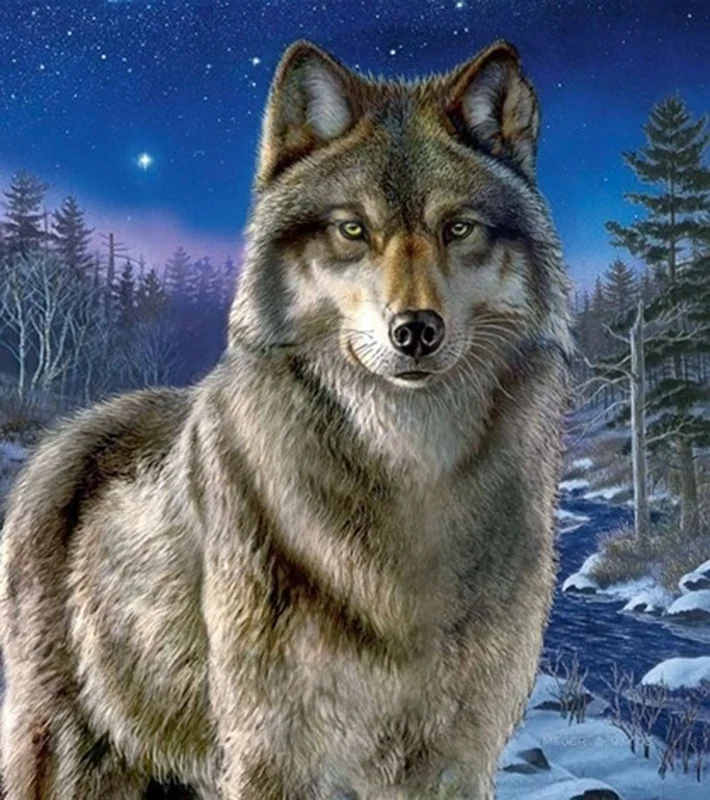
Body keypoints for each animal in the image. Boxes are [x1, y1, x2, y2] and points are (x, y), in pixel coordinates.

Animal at [0, 38, 572, 799]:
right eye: (353, 229)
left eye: (459, 229)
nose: (415, 331)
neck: (410, 479)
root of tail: (64, 436)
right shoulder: (273, 754)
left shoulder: (455, 761)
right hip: (69, 757)